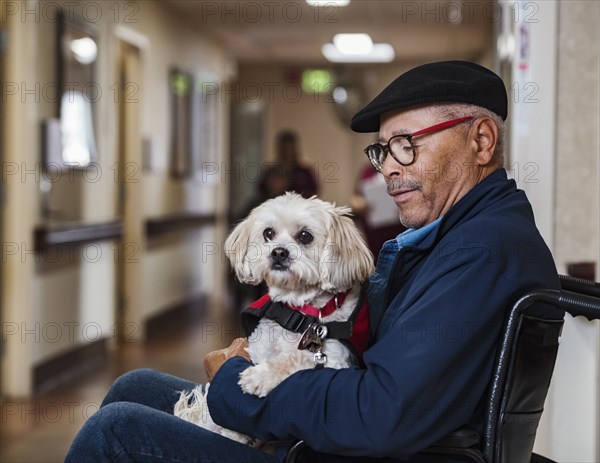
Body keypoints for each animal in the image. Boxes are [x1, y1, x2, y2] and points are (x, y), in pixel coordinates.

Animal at [171, 193, 372, 446]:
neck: (298, 313)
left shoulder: (334, 361)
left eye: (305, 236)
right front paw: (236, 431)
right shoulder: (259, 349)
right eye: (268, 233)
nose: (278, 252)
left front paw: (260, 377)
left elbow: (297, 359)